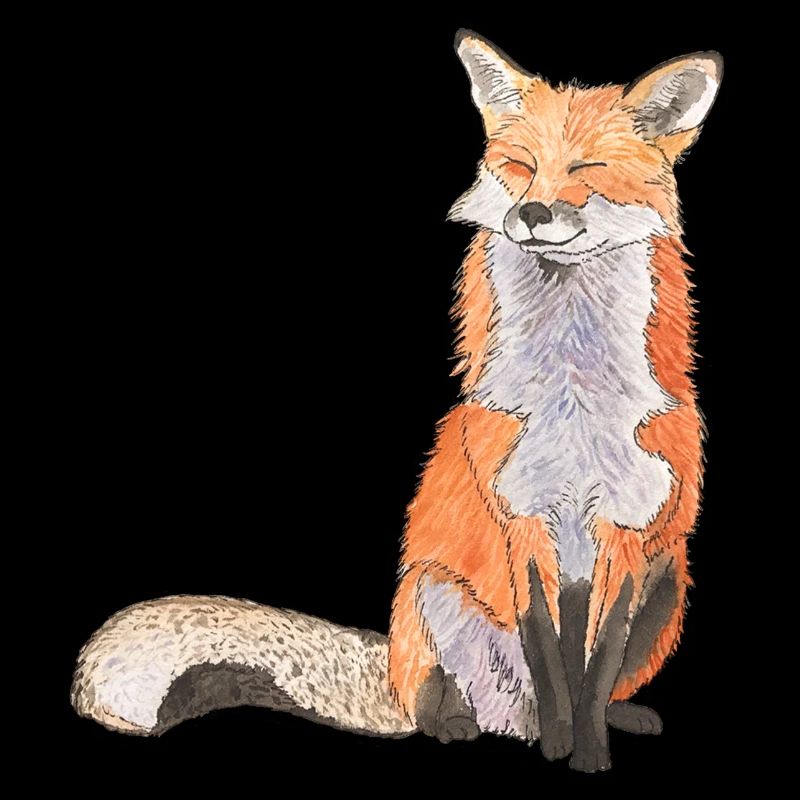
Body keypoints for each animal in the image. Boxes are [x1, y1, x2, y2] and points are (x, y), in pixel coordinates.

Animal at [71, 31, 721, 772]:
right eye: (521, 166)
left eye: (588, 168)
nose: (530, 214)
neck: (574, 397)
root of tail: (508, 719)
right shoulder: (521, 520)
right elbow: (549, 655)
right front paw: (563, 744)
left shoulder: (629, 531)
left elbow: (596, 661)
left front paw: (586, 751)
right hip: (430, 595)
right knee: (441, 699)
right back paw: (465, 724)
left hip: (670, 582)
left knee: (601, 680)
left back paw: (616, 718)